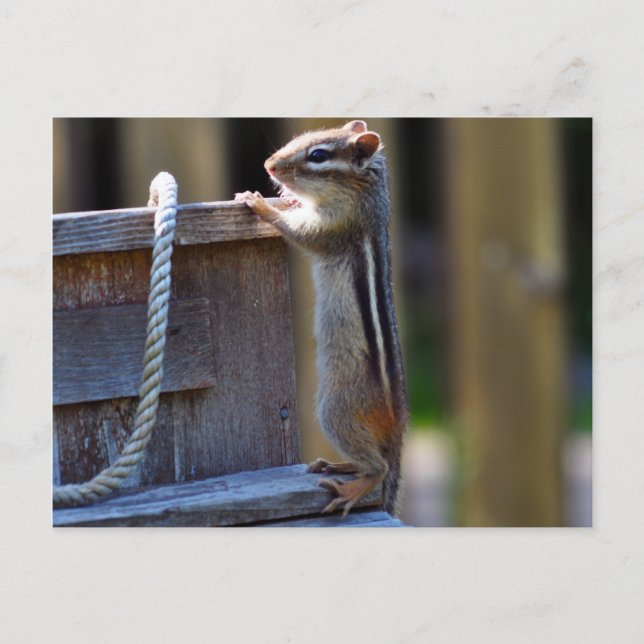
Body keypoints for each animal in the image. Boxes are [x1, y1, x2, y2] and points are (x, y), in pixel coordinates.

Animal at [235, 120, 408, 516]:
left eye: (318, 155)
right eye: (302, 139)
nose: (268, 166)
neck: (365, 195)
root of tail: (398, 433)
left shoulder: (335, 227)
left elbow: (301, 233)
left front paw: (258, 203)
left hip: (336, 409)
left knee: (378, 467)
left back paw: (351, 488)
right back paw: (337, 465)